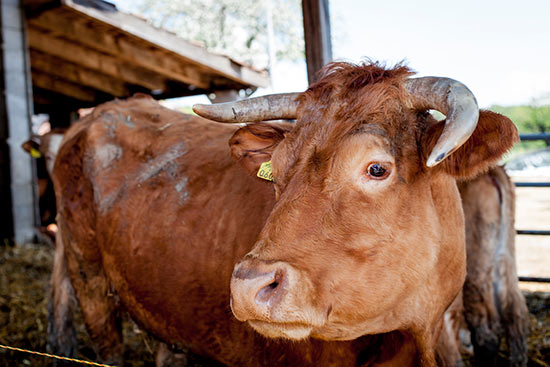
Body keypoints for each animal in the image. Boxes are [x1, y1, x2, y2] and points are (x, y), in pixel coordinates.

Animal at [51, 61, 520, 366]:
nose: (248, 286)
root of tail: (95, 116)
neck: (407, 333)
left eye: (376, 168)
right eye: (274, 171)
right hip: (87, 276)